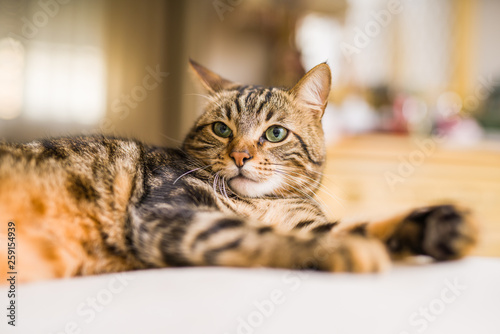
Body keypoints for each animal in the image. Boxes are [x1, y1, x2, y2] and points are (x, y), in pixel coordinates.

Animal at [0, 60, 478, 282]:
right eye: (221, 129)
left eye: (275, 133)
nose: (241, 156)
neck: (257, 203)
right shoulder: (167, 213)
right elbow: (255, 235)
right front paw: (340, 250)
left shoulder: (304, 219)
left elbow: (364, 224)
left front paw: (436, 224)